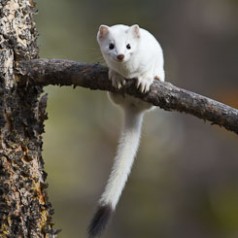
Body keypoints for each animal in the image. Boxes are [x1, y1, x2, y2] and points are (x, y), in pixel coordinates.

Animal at [88, 23, 165, 236]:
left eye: (129, 46)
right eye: (111, 45)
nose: (121, 55)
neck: (128, 71)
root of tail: (133, 108)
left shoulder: (151, 57)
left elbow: (148, 70)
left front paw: (145, 80)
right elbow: (114, 73)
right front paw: (115, 77)